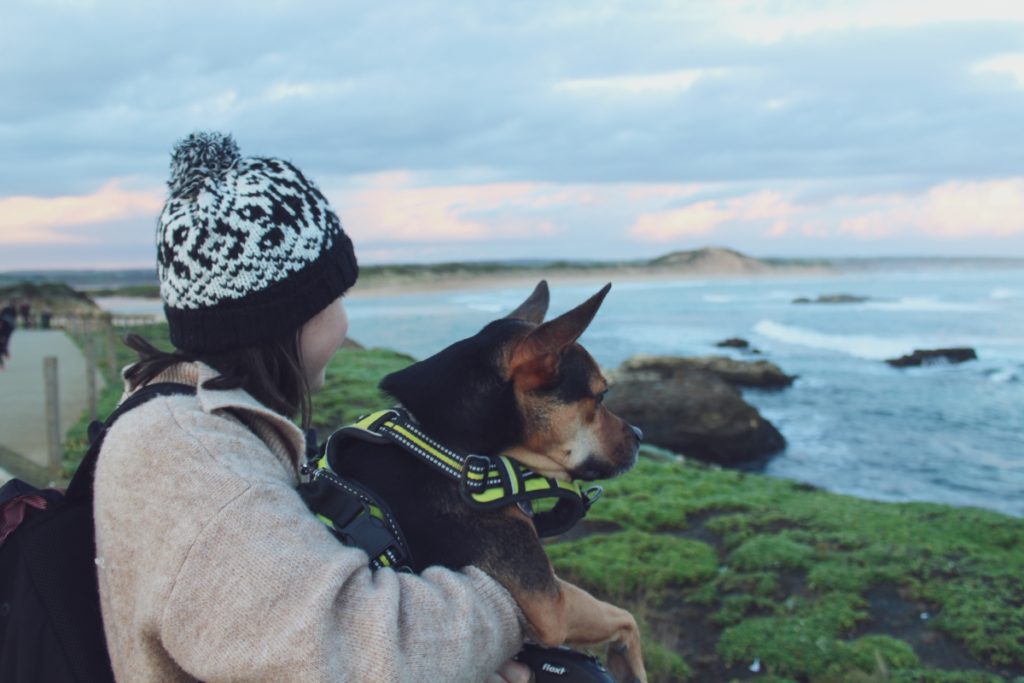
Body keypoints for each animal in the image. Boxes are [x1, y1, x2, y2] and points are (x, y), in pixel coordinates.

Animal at [327, 282, 647, 683]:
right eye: (601, 395)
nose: (641, 435)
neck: (450, 448)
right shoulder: (551, 604)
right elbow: (626, 617)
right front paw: (628, 663)